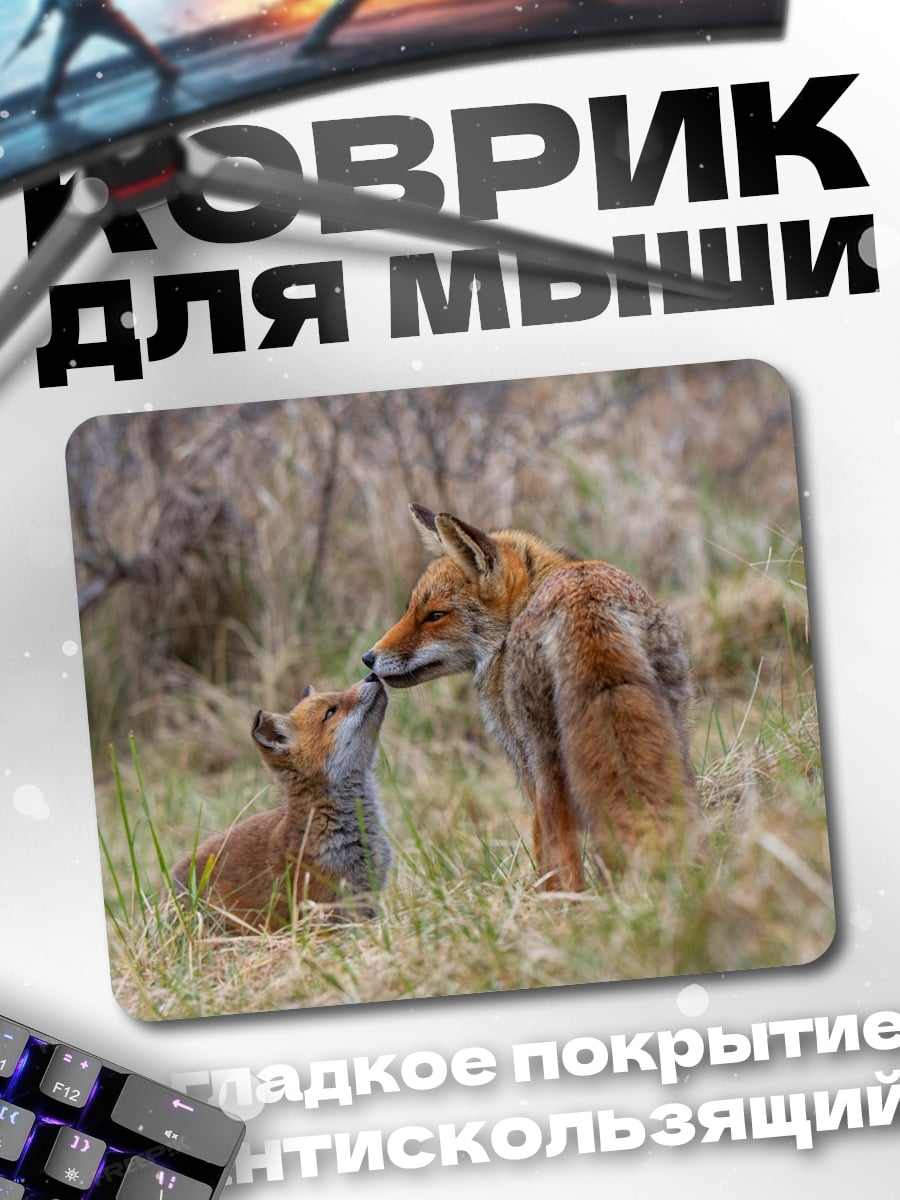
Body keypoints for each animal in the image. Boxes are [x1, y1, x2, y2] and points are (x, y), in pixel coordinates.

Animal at [363, 505, 698, 892]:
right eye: (410, 610)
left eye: (435, 615)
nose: (369, 658)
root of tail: (587, 602)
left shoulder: (527, 769)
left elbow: (544, 852)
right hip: (674, 735)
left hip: (547, 762)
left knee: (564, 852)